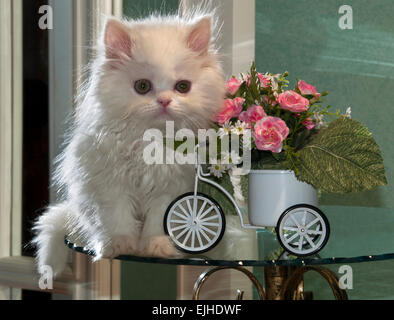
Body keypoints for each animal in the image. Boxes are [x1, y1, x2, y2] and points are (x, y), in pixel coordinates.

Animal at [33, 13, 225, 276]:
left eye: (183, 87)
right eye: (142, 86)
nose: (164, 101)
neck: (149, 143)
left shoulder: (171, 188)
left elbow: (160, 222)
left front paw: (156, 247)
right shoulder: (110, 185)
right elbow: (118, 219)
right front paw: (119, 246)